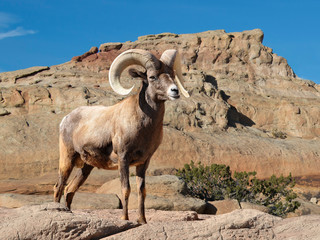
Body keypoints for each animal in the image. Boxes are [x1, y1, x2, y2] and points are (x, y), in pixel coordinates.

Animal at [53, 48, 189, 223]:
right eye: (152, 77)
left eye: (172, 75)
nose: (175, 91)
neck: (143, 126)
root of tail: (65, 119)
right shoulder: (123, 158)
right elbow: (126, 189)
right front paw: (125, 218)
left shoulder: (143, 162)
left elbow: (141, 191)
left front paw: (142, 220)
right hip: (67, 159)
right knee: (59, 187)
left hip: (86, 167)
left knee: (69, 189)